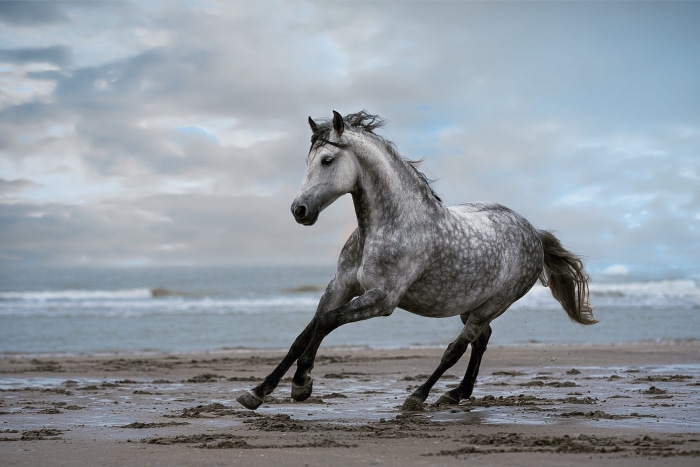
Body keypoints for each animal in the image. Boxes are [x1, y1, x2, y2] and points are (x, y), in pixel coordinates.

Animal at [237, 110, 596, 411]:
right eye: (308, 161)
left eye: (327, 160)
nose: (299, 210)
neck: (388, 225)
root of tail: (533, 232)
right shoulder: (340, 286)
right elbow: (304, 334)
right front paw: (257, 392)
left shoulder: (383, 299)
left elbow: (327, 322)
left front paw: (302, 383)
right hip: (471, 304)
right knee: (481, 341)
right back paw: (457, 393)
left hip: (493, 305)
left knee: (457, 348)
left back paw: (420, 396)